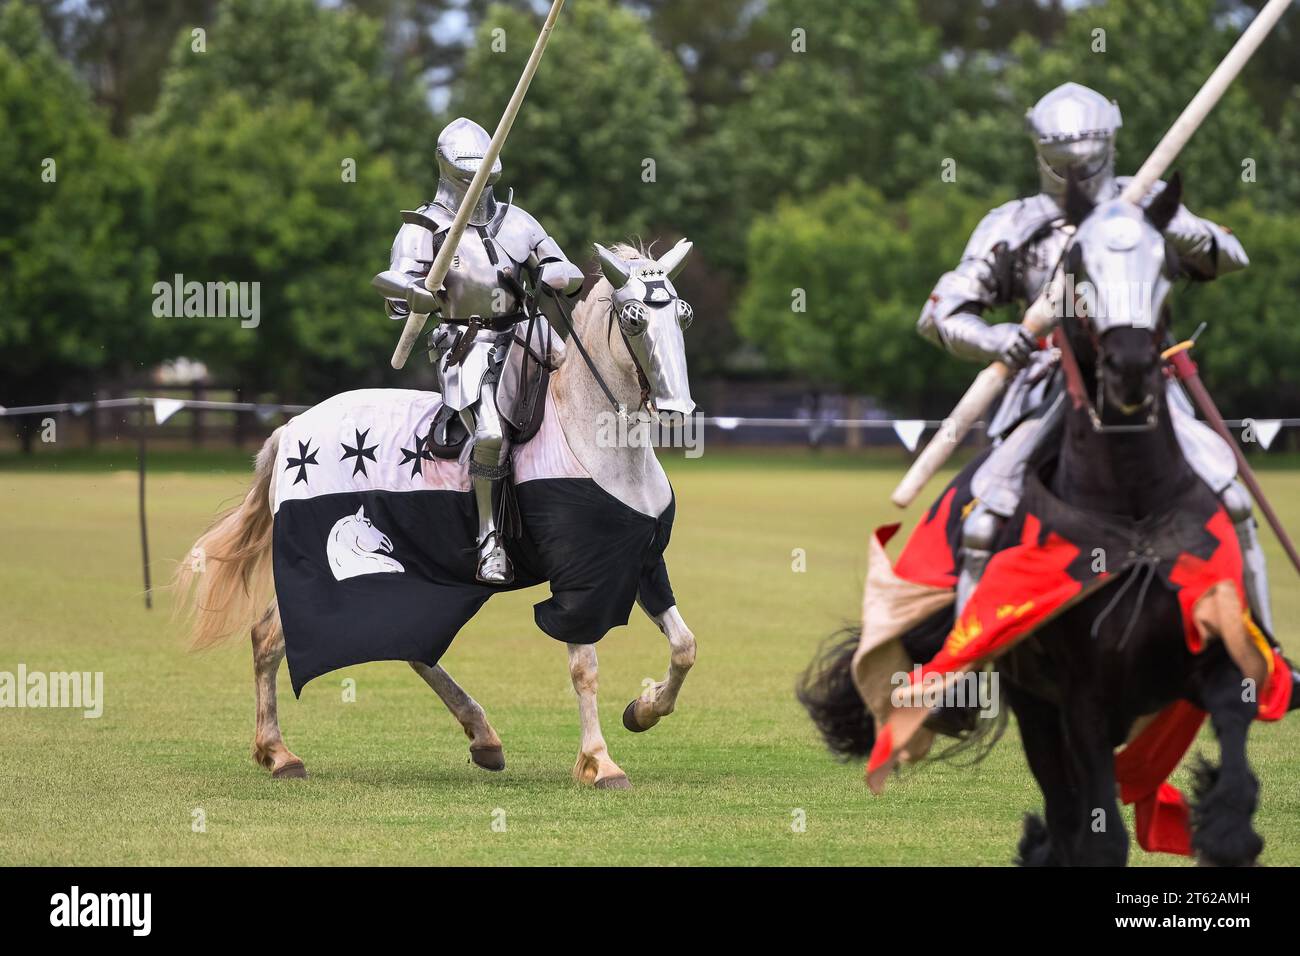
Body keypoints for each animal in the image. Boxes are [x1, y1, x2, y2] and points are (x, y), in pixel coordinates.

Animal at [176, 243, 702, 790]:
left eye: (683, 314)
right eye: (633, 317)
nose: (678, 408)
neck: (589, 438)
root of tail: (290, 431)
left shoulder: (640, 564)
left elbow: (684, 646)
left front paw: (643, 711)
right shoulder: (580, 579)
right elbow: (585, 667)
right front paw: (600, 762)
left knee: (409, 646)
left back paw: (482, 738)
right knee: (269, 638)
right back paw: (278, 753)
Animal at [800, 171, 1279, 868]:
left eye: (1165, 264)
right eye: (1077, 265)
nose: (1130, 368)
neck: (1132, 511)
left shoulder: (1214, 651)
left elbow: (1234, 751)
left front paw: (1226, 827)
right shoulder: (1079, 700)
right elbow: (1096, 833)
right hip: (1036, 708)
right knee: (1065, 803)